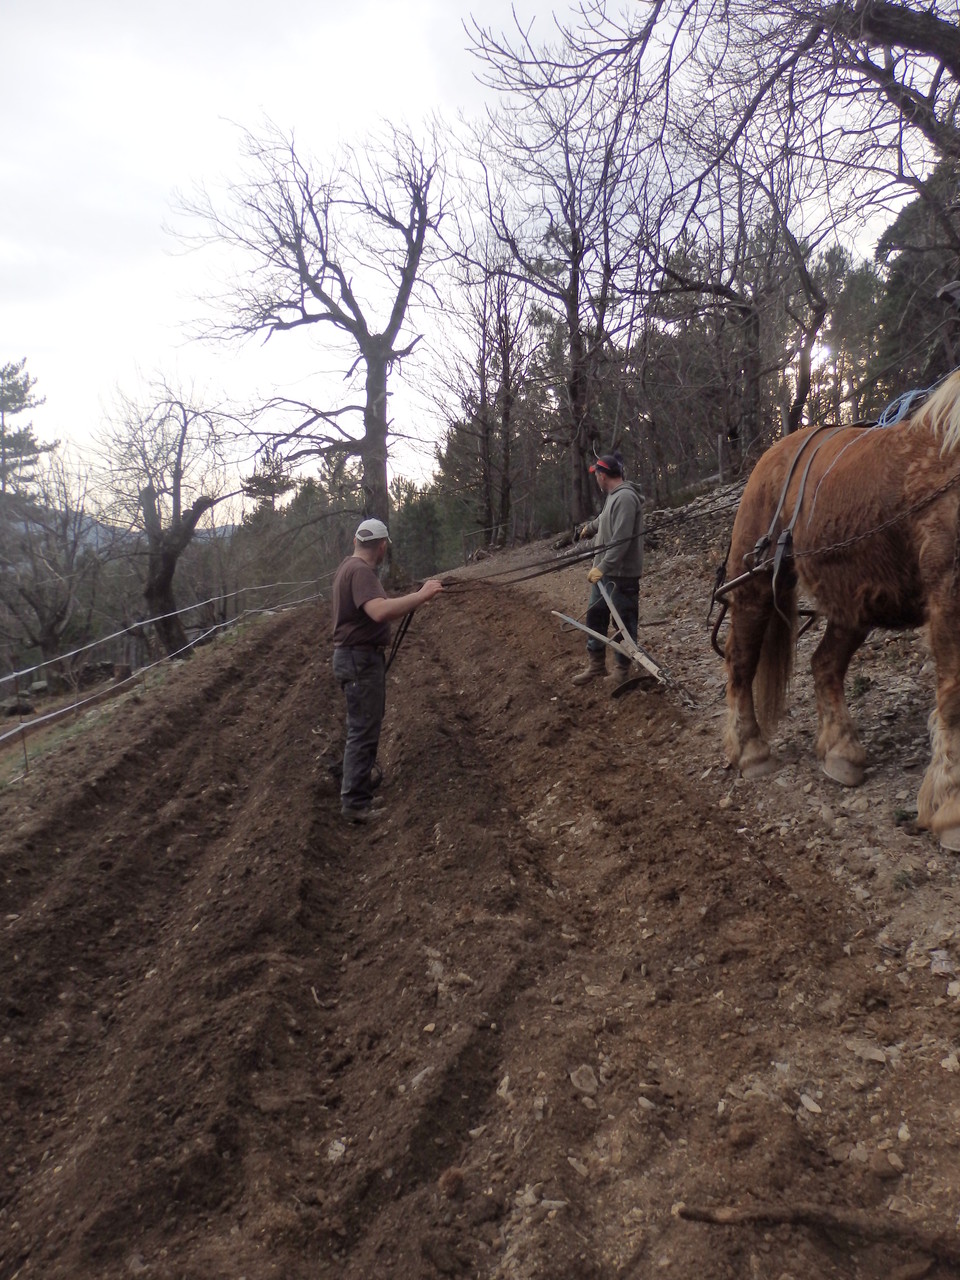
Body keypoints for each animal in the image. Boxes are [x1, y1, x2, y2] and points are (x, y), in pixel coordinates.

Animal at [727, 371, 960, 849]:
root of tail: (772, 453)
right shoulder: (948, 590)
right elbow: (953, 700)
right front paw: (951, 809)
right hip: (754, 584)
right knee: (741, 661)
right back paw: (752, 751)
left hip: (856, 602)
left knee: (824, 664)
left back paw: (840, 752)